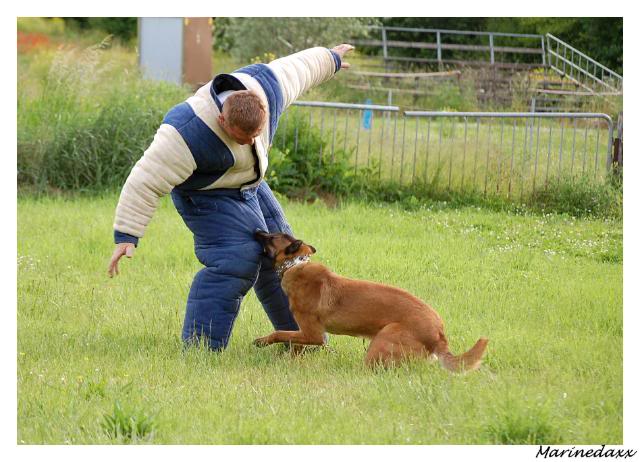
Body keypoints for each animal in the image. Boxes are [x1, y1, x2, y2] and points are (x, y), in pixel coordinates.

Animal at [252, 231, 488, 372]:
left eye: (271, 237)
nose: (257, 230)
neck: (295, 264)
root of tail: (438, 333)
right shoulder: (306, 334)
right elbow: (293, 344)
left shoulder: (314, 334)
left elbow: (280, 333)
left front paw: (262, 341)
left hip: (381, 342)